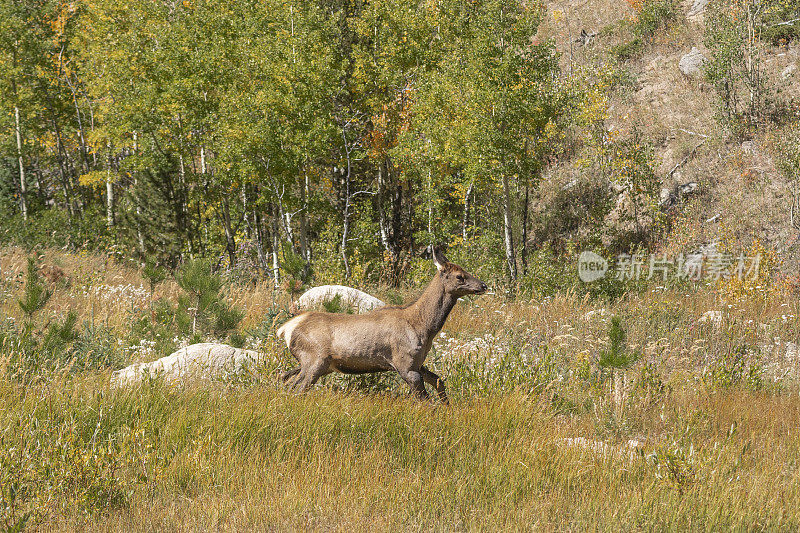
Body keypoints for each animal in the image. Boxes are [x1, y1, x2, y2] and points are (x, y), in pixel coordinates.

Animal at [276, 247, 488, 402]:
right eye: (459, 276)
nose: (483, 285)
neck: (424, 328)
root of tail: (285, 329)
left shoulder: (418, 363)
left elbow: (439, 382)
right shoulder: (405, 364)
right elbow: (426, 401)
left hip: (316, 363)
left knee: (285, 379)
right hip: (315, 359)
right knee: (296, 388)